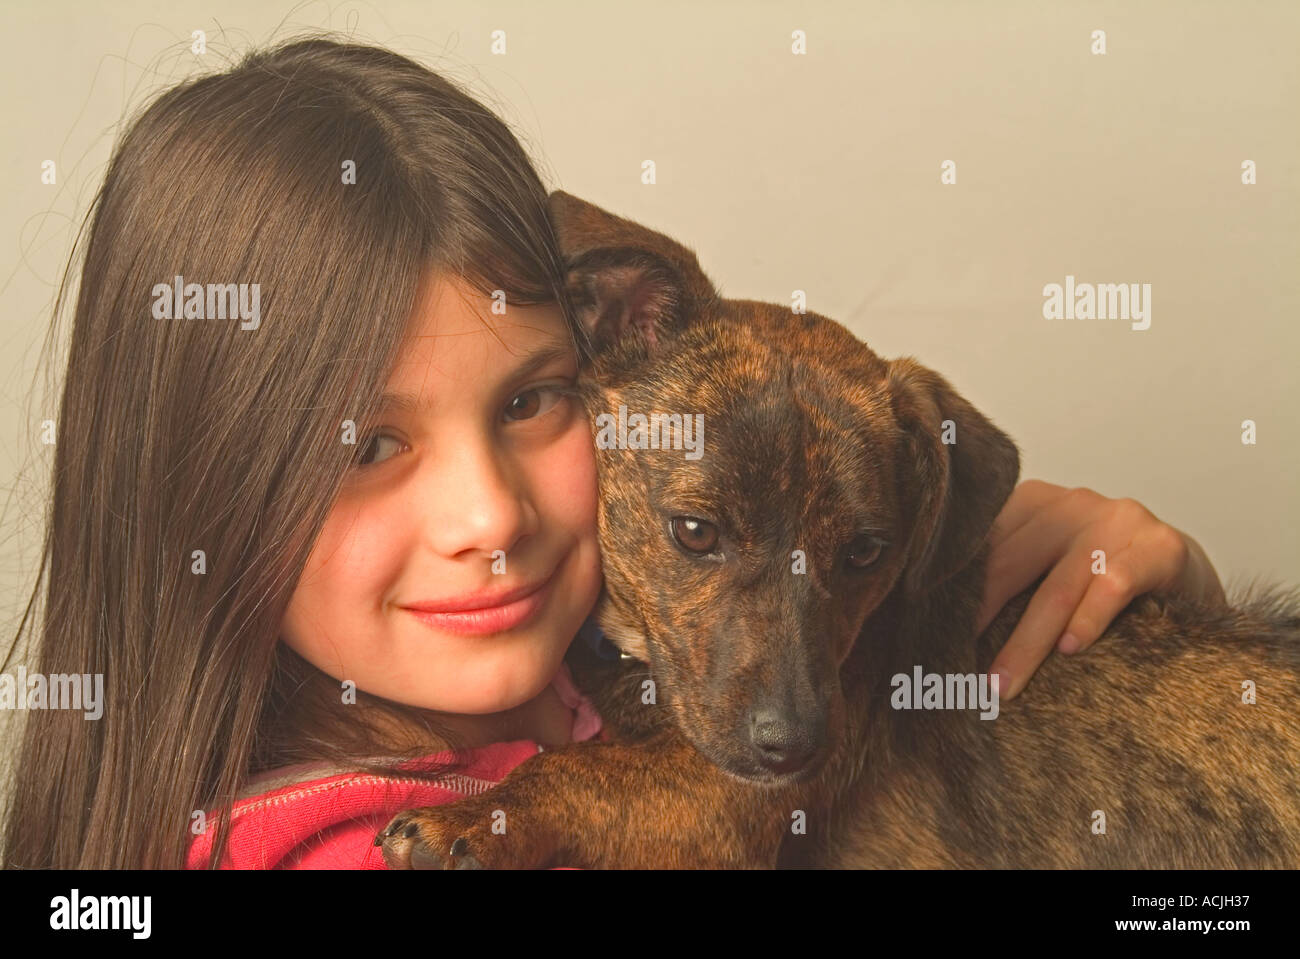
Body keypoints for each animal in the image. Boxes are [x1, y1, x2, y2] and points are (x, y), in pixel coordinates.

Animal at [377, 192, 1300, 868]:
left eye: (864, 553)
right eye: (694, 531)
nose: (793, 748)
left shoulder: (714, 799)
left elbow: (585, 767)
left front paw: (480, 815)